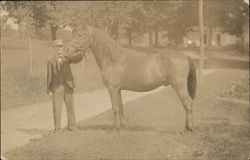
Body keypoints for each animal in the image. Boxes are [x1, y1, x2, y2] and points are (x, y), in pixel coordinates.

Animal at [67, 26, 197, 131]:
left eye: (80, 35)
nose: (68, 50)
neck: (112, 58)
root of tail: (185, 56)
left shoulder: (112, 88)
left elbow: (115, 108)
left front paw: (115, 129)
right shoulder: (118, 89)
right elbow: (120, 107)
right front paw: (124, 127)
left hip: (179, 86)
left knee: (188, 104)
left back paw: (187, 130)